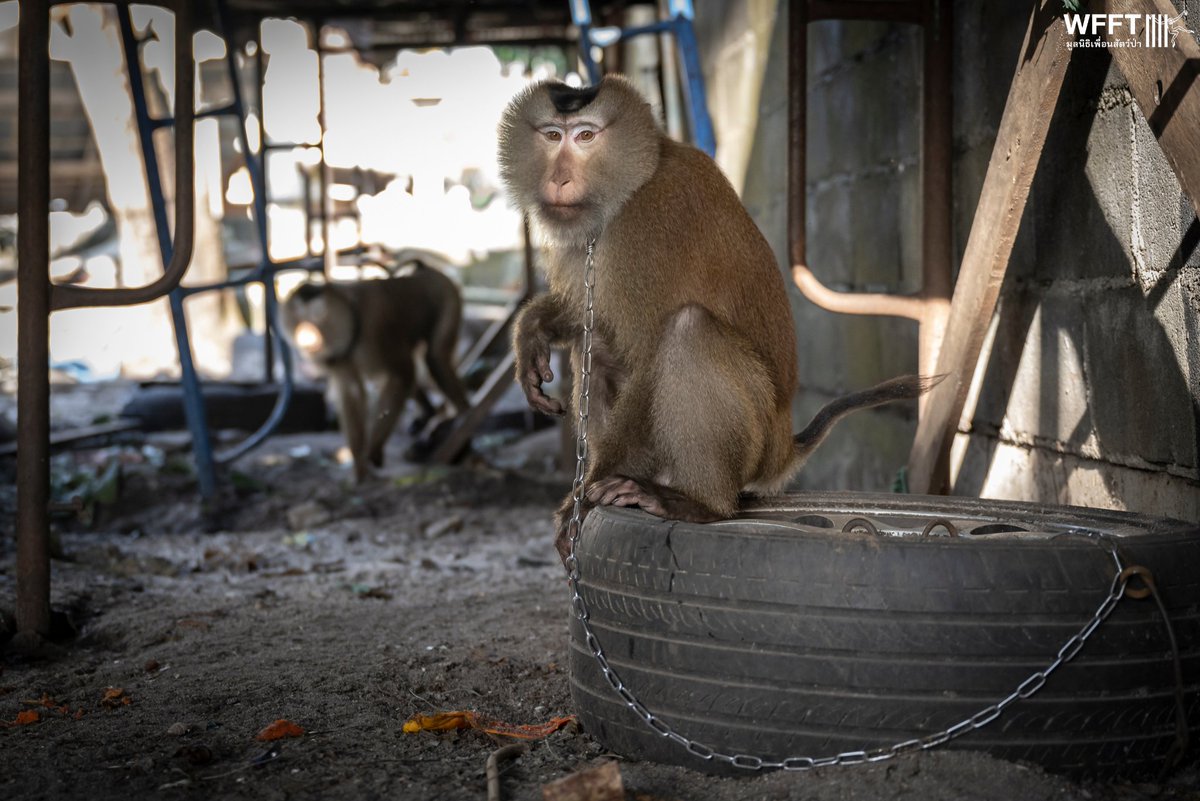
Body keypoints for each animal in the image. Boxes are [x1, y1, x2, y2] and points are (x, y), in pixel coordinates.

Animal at [279, 260, 471, 482]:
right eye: (298, 318)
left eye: (318, 316)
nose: (306, 332)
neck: (350, 320)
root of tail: (424, 269)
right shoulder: (340, 356)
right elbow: (352, 393)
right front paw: (359, 468)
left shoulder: (374, 330)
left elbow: (403, 373)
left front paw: (373, 451)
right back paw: (428, 413)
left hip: (448, 295)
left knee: (435, 358)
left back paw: (462, 417)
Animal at [497, 75, 941, 562]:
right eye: (551, 135)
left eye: (585, 137)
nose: (559, 178)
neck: (630, 188)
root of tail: (784, 444)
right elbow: (587, 318)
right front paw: (533, 330)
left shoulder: (649, 229)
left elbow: (648, 354)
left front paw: (585, 494)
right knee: (597, 345)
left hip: (754, 440)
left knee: (687, 331)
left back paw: (699, 503)